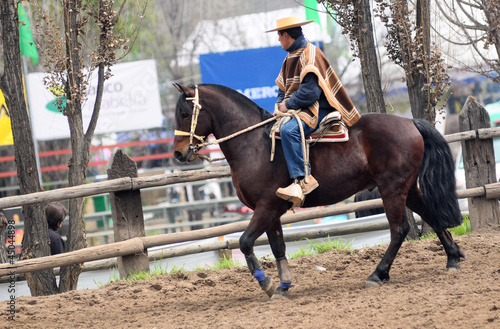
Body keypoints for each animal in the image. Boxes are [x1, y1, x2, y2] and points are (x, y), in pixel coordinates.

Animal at [172, 82, 464, 298]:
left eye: (185, 114)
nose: (178, 153)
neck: (254, 144)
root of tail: (410, 123)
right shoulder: (271, 211)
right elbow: (277, 246)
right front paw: (283, 286)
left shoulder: (266, 208)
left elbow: (245, 242)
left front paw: (266, 282)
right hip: (408, 188)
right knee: (431, 215)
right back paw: (453, 258)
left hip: (392, 188)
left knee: (399, 229)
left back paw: (378, 273)